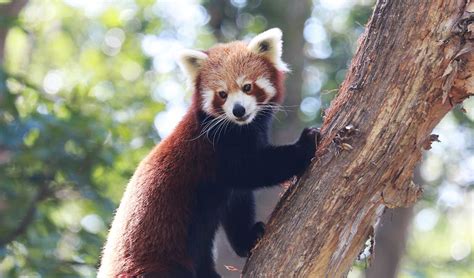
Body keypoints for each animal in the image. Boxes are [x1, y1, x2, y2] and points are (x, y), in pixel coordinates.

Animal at [99, 28, 322, 278]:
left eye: (247, 87)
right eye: (222, 94)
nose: (238, 110)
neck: (240, 128)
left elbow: (237, 203)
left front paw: (248, 238)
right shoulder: (214, 152)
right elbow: (252, 169)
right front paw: (305, 144)